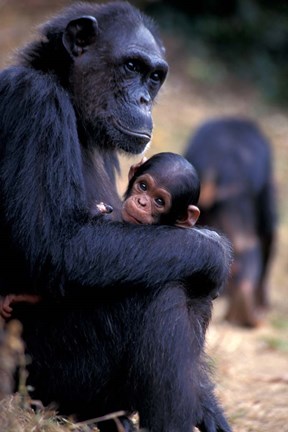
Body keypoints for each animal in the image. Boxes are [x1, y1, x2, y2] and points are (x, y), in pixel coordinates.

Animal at [0, 3, 232, 432]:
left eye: (154, 76)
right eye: (131, 66)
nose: (142, 99)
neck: (73, 103)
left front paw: (210, 409)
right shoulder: (33, 103)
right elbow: (60, 246)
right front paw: (216, 250)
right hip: (43, 381)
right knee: (163, 290)